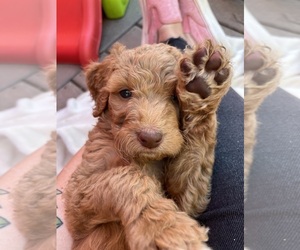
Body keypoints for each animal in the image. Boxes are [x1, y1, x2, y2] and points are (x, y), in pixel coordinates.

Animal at [63, 40, 232, 249]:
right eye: (125, 93)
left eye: (175, 97)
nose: (150, 138)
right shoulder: (76, 197)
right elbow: (125, 176)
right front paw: (166, 230)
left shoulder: (188, 202)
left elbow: (193, 166)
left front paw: (202, 86)